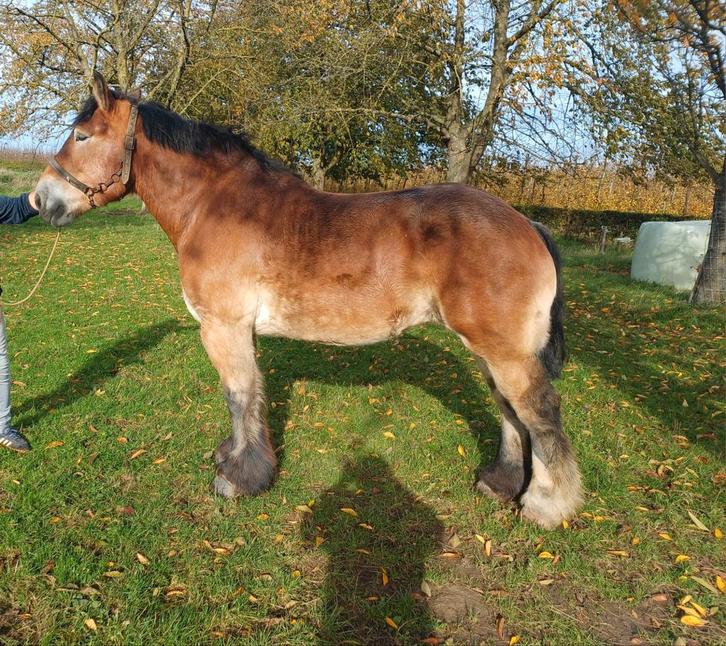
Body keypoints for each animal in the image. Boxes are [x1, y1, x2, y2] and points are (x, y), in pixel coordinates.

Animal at [33, 73, 582, 528]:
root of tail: (527, 224)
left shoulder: (223, 327)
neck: (211, 205)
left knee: (539, 412)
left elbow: (238, 395)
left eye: (82, 136)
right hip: (491, 350)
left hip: (506, 352)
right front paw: (236, 458)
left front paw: (239, 478)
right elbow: (250, 396)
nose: (41, 200)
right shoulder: (241, 332)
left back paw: (545, 505)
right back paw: (501, 484)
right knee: (511, 412)